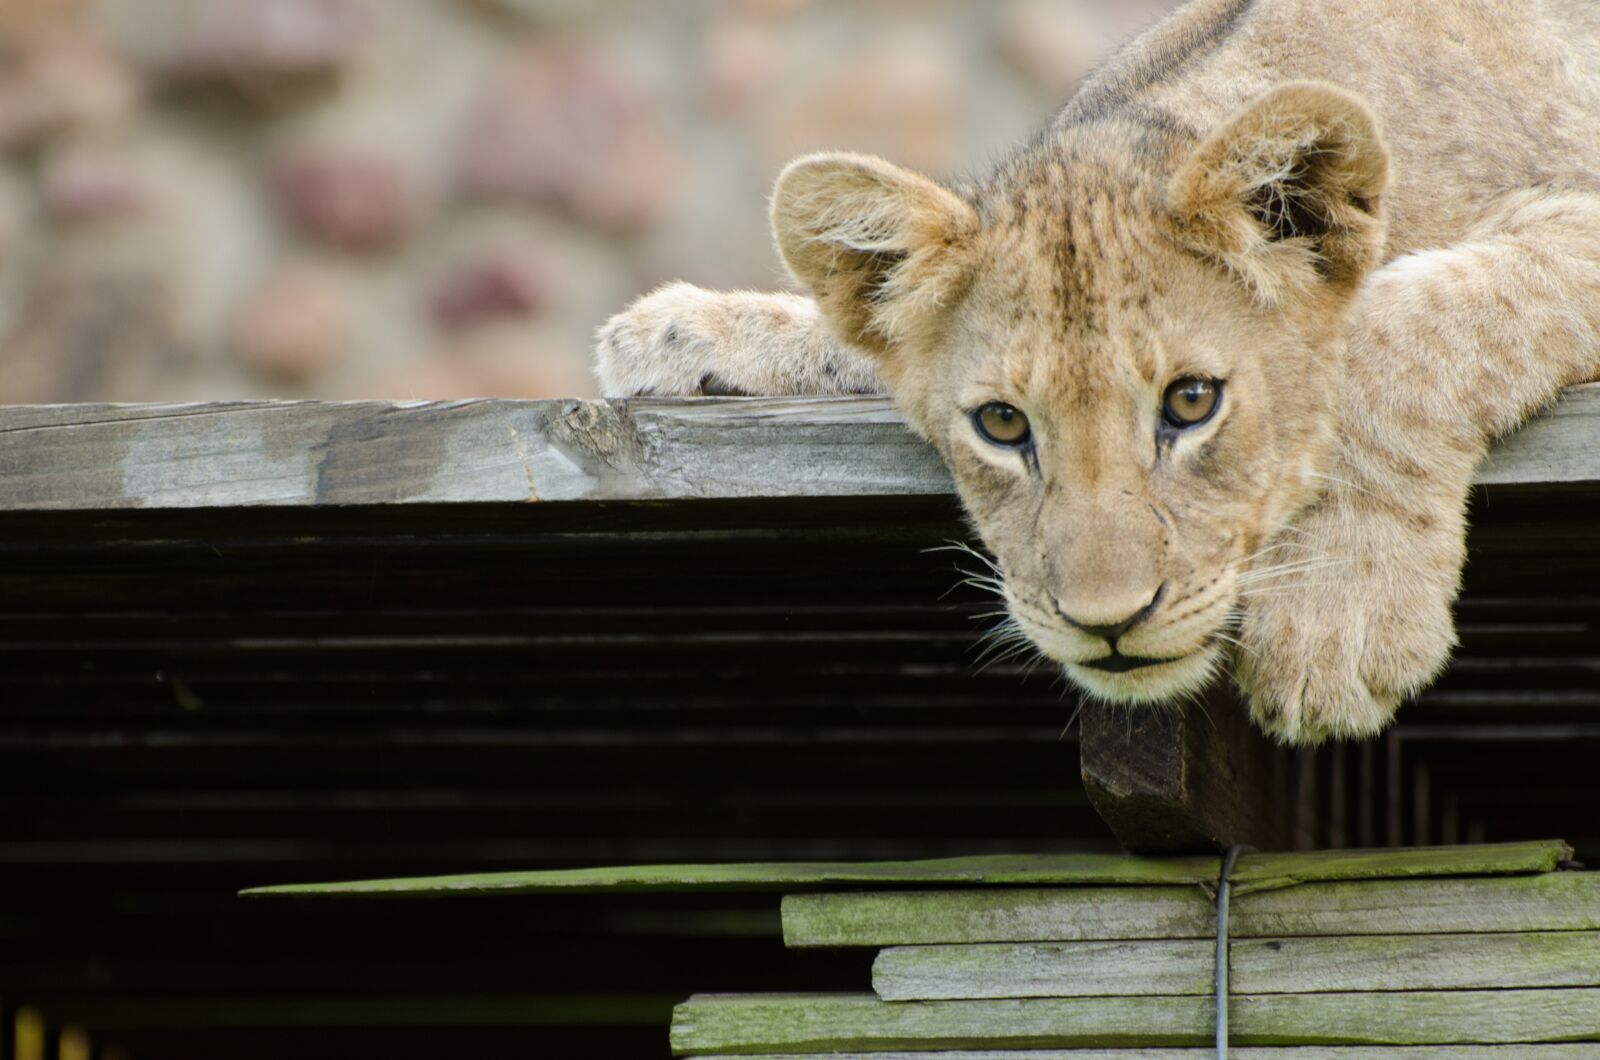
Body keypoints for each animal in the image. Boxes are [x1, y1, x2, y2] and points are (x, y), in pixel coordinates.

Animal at [595, 0, 1600, 745]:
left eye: (1192, 402)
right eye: (1002, 424)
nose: (1107, 622)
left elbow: (1402, 330)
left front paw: (1338, 618)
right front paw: (676, 333)